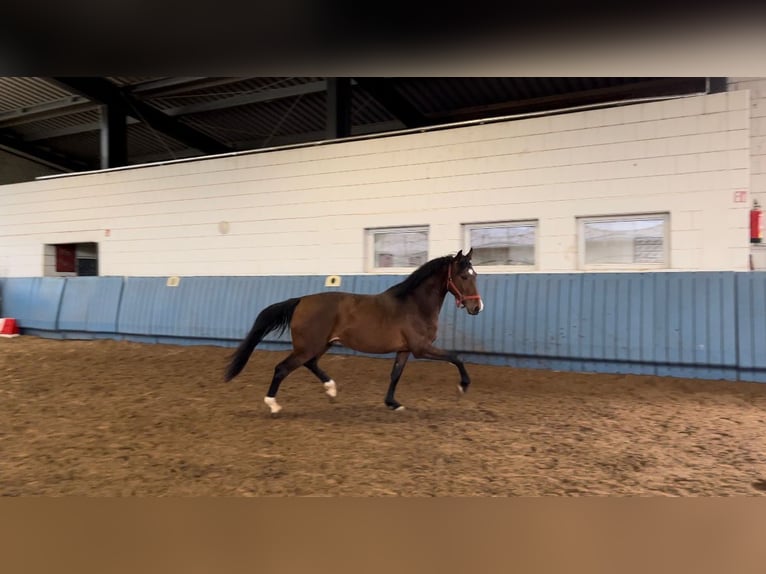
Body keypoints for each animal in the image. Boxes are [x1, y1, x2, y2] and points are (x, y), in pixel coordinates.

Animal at [223, 249, 484, 413]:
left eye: (475, 275)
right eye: (463, 276)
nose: (477, 307)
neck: (414, 304)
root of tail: (301, 301)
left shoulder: (405, 350)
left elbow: (395, 375)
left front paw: (393, 403)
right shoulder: (421, 348)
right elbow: (455, 357)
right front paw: (463, 386)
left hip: (321, 344)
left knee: (309, 364)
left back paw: (331, 389)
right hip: (309, 346)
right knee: (282, 368)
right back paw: (273, 404)